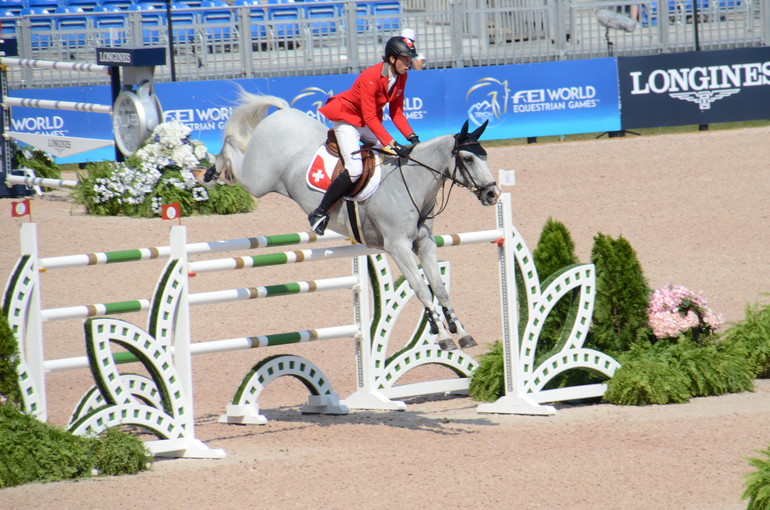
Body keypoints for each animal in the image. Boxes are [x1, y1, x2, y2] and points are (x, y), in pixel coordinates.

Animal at [201, 91, 500, 350]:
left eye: (485, 156)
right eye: (468, 158)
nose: (493, 194)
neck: (412, 182)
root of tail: (283, 114)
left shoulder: (424, 244)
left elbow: (439, 288)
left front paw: (462, 333)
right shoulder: (398, 247)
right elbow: (422, 290)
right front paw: (444, 338)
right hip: (258, 180)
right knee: (232, 151)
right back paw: (210, 172)